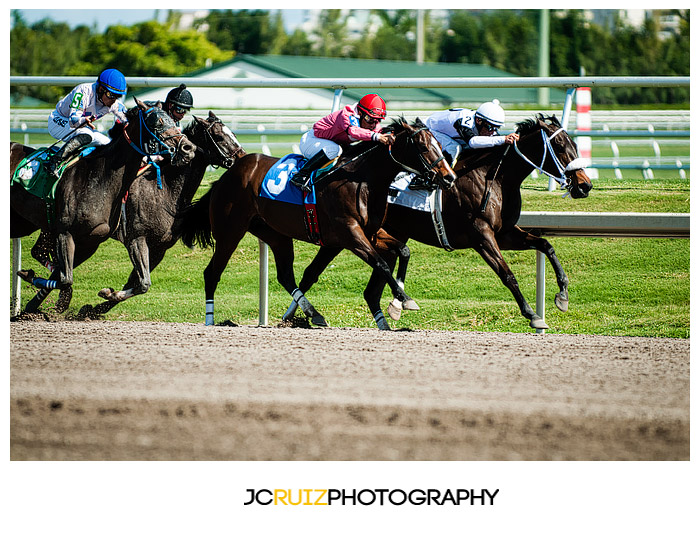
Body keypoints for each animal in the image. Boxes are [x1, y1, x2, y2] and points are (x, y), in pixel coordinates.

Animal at [10, 98, 197, 314]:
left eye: (173, 121)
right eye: (156, 123)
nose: (188, 148)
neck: (100, 179)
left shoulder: (91, 241)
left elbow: (64, 276)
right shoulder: (66, 232)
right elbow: (65, 278)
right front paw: (29, 276)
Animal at [75, 111, 245, 316]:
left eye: (233, 134)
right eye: (219, 137)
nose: (243, 157)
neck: (164, 190)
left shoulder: (159, 248)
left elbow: (135, 282)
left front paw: (96, 307)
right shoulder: (136, 239)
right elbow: (143, 283)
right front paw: (106, 296)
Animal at [178, 117, 456, 326]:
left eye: (438, 143)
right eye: (423, 147)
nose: (449, 177)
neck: (361, 179)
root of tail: (226, 176)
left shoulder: (370, 232)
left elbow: (404, 250)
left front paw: (398, 302)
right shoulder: (350, 233)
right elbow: (381, 264)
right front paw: (404, 300)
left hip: (275, 234)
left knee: (285, 276)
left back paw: (315, 314)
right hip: (229, 232)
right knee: (212, 273)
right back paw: (209, 320)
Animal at [284, 113, 592, 330]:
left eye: (575, 145)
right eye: (560, 146)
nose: (585, 186)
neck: (493, 178)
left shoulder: (504, 233)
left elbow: (546, 244)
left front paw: (562, 296)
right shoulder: (482, 236)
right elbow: (507, 274)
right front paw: (532, 315)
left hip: (369, 235)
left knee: (366, 288)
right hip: (350, 233)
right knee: (316, 275)